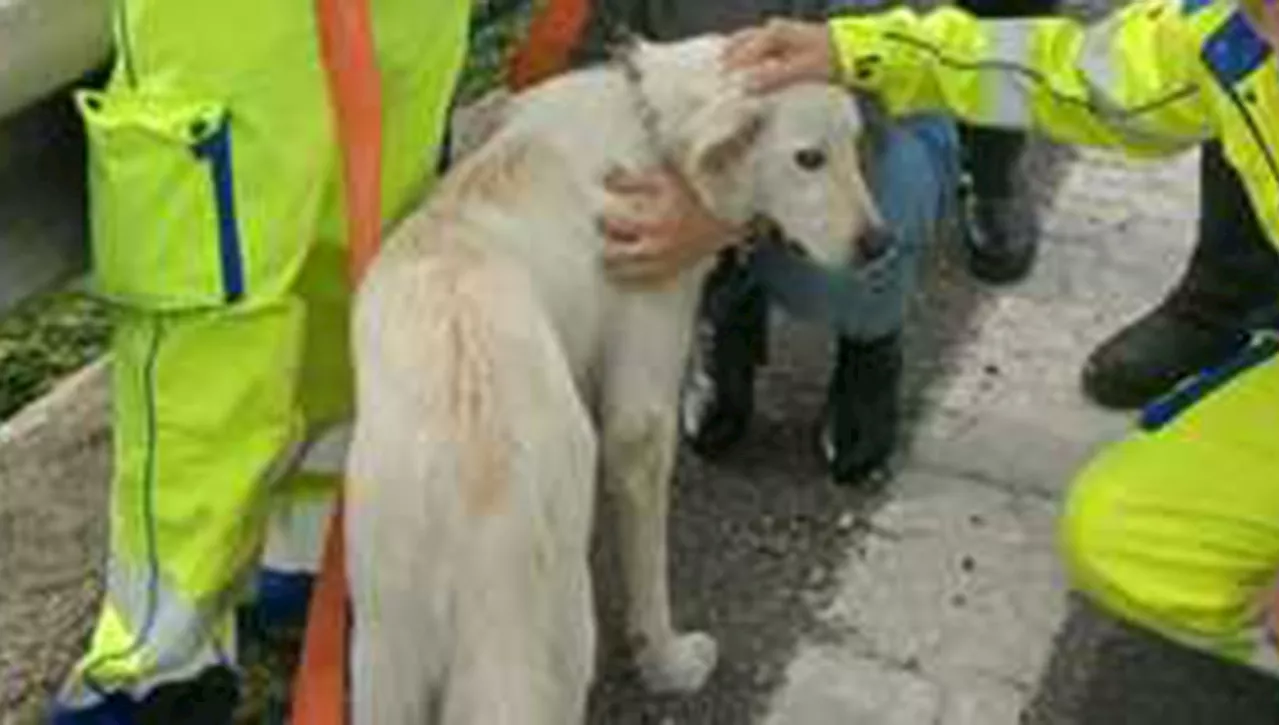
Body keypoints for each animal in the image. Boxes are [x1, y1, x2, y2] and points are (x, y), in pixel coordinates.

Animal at [343, 34, 880, 725]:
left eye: (855, 146)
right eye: (809, 159)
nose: (880, 244)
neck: (651, 125)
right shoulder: (641, 419)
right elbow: (650, 572)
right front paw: (670, 663)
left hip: (384, 655)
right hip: (558, 634)